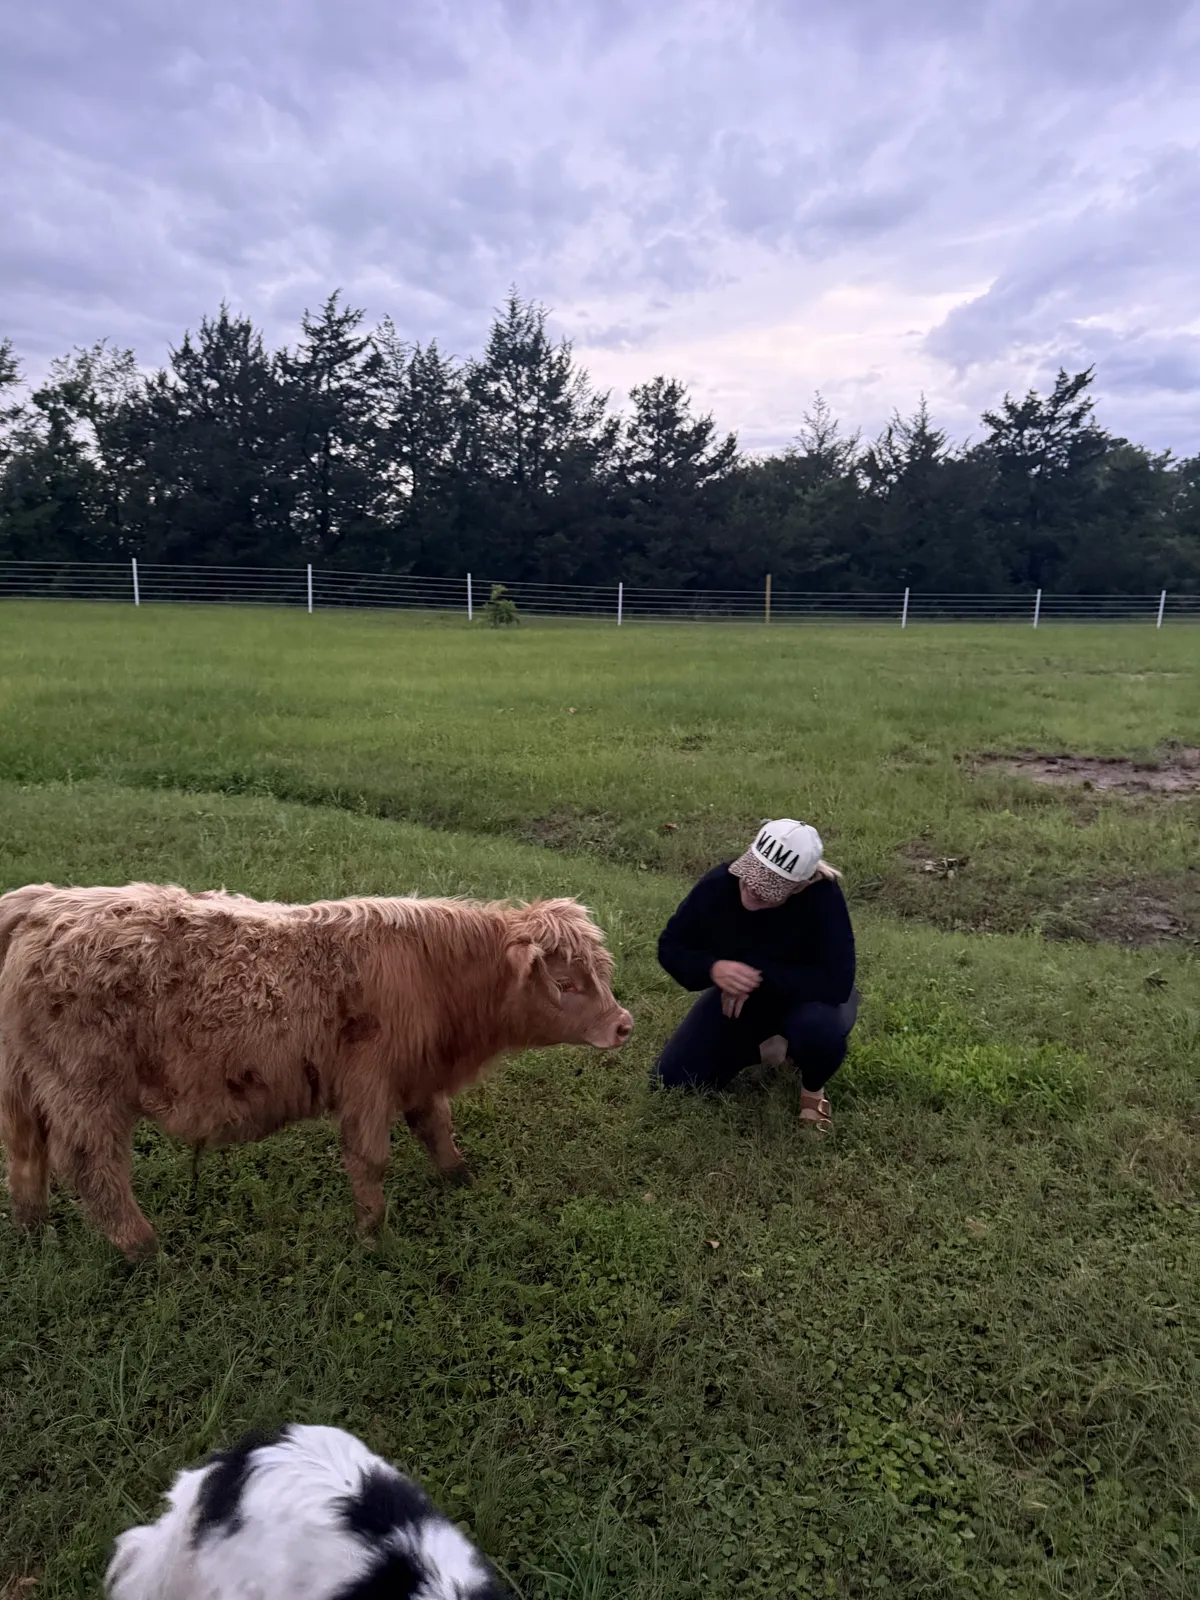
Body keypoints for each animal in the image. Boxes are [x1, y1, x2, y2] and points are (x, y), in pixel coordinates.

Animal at [0, 881, 633, 1258]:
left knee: (26, 1154)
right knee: (93, 1166)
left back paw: (33, 1231)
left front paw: (460, 1176)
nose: (624, 1025)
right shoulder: (369, 1083)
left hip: (25, 1084)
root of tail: (41, 904)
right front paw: (373, 1234)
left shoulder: (417, 1076)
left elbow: (436, 1128)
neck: (434, 979)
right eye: (567, 982)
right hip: (87, 1087)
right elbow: (369, 1159)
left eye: (600, 973)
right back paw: (143, 1249)